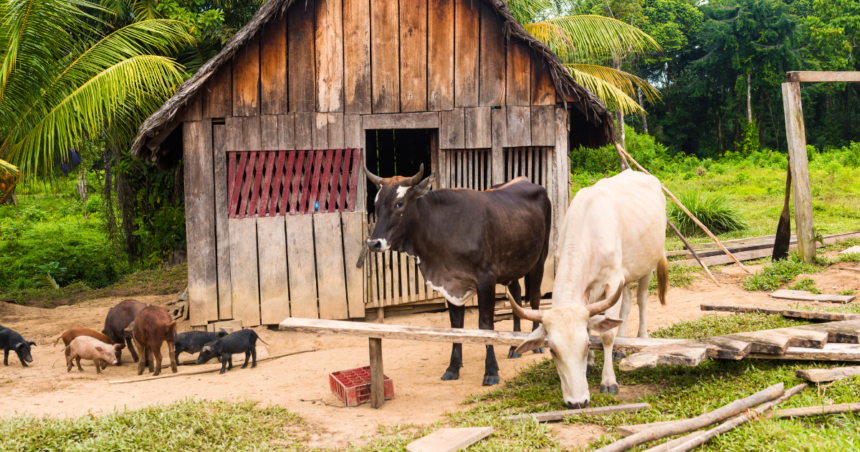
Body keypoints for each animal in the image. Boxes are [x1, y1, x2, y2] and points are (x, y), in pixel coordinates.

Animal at [508, 170, 668, 410]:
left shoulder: (613, 280)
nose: (577, 402)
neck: (588, 230)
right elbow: (596, 325)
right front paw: (592, 363)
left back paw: (642, 338)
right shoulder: (593, 290)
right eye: (552, 350)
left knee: (641, 300)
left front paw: (608, 381)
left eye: (583, 346)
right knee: (626, 305)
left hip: (648, 265)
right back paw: (621, 349)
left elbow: (607, 335)